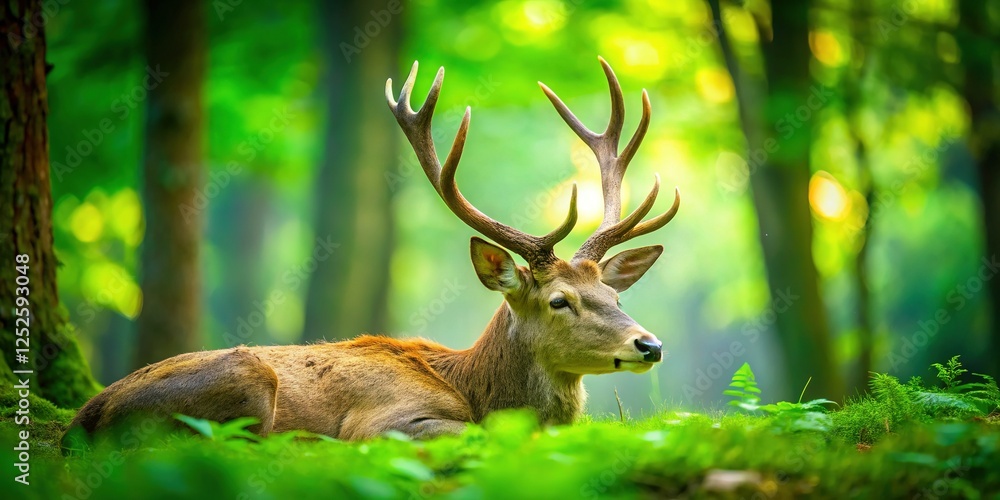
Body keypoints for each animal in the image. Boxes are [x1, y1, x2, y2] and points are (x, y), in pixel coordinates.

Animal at [63, 57, 680, 447]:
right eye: (559, 301)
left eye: (614, 296)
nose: (649, 344)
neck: (475, 388)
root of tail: (82, 419)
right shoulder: (383, 421)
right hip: (245, 378)